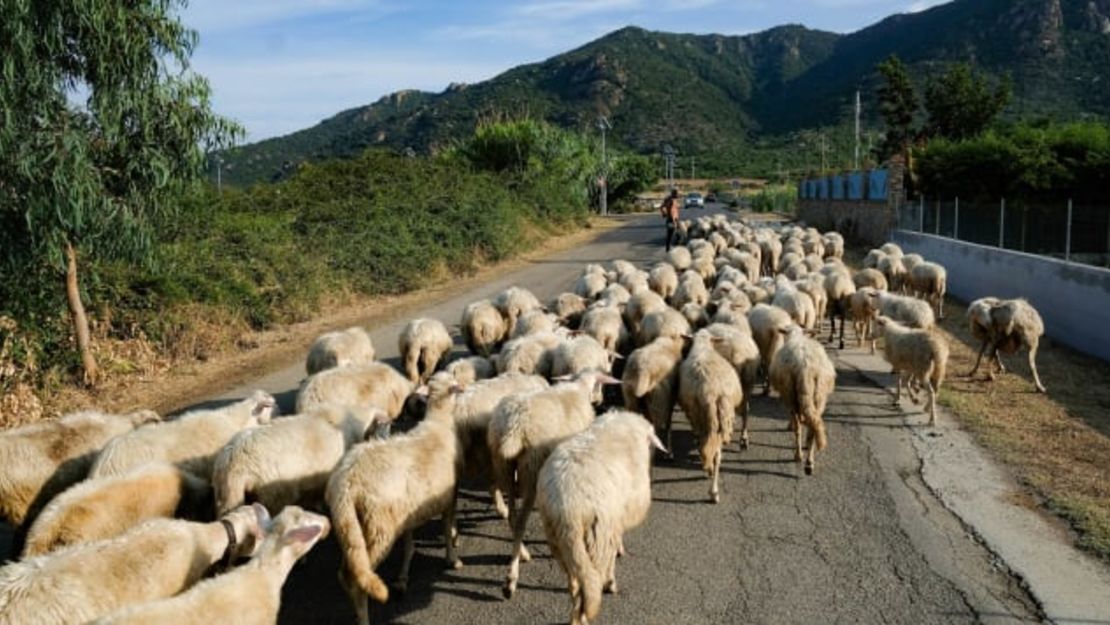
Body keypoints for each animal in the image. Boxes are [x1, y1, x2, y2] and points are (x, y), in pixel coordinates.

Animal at [535, 410, 657, 625]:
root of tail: (569, 508)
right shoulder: (615, 518)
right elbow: (615, 548)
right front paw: (613, 575)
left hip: (559, 538)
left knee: (576, 582)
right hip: (597, 535)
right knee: (593, 579)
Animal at [772, 328, 834, 475]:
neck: (795, 336)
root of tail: (805, 366)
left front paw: (789, 425)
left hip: (790, 392)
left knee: (798, 427)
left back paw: (798, 455)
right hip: (819, 395)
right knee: (813, 427)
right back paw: (809, 463)